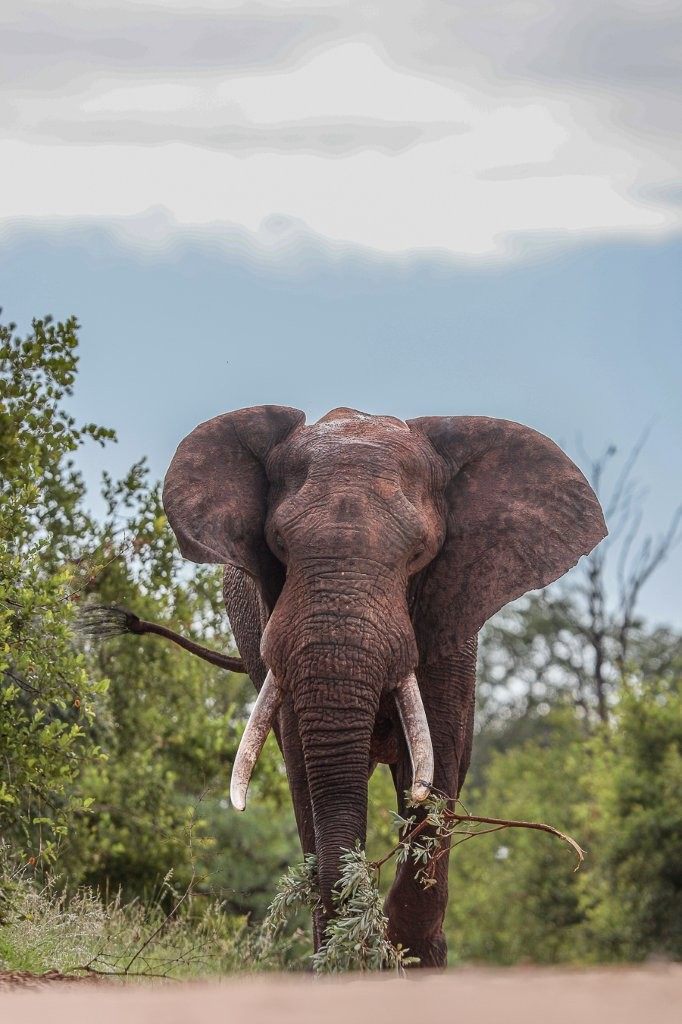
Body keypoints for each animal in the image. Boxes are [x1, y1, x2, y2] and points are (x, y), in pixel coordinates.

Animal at [161, 405, 607, 966]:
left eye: (420, 553)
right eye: (278, 545)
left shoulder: (448, 624)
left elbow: (435, 769)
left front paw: (403, 951)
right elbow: (306, 770)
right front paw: (350, 950)